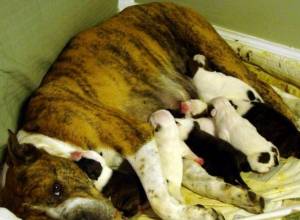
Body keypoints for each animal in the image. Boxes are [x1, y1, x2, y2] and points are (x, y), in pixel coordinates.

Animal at [1, 2, 294, 220]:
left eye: (57, 189)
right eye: (40, 218)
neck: (54, 141)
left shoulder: (135, 136)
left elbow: (158, 199)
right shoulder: (167, 144)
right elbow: (193, 179)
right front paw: (216, 202)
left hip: (214, 49)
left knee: (269, 90)